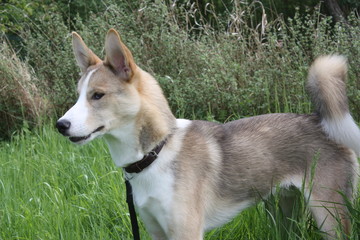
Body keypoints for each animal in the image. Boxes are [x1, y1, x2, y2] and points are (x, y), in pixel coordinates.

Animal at [54, 29, 358, 239]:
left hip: (329, 216)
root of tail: (319, 120)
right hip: (285, 212)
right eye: (78, 96)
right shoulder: (156, 231)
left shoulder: (186, 232)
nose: (60, 125)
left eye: (97, 95)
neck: (158, 151)